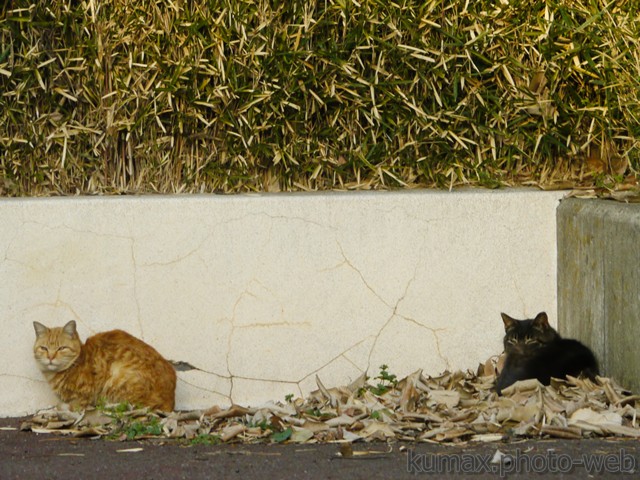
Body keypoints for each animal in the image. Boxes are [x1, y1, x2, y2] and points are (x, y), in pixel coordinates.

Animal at [33, 320, 176, 410]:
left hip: (117, 375)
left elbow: (75, 404)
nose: (50, 357)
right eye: (44, 348)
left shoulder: (85, 395)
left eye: (61, 348)